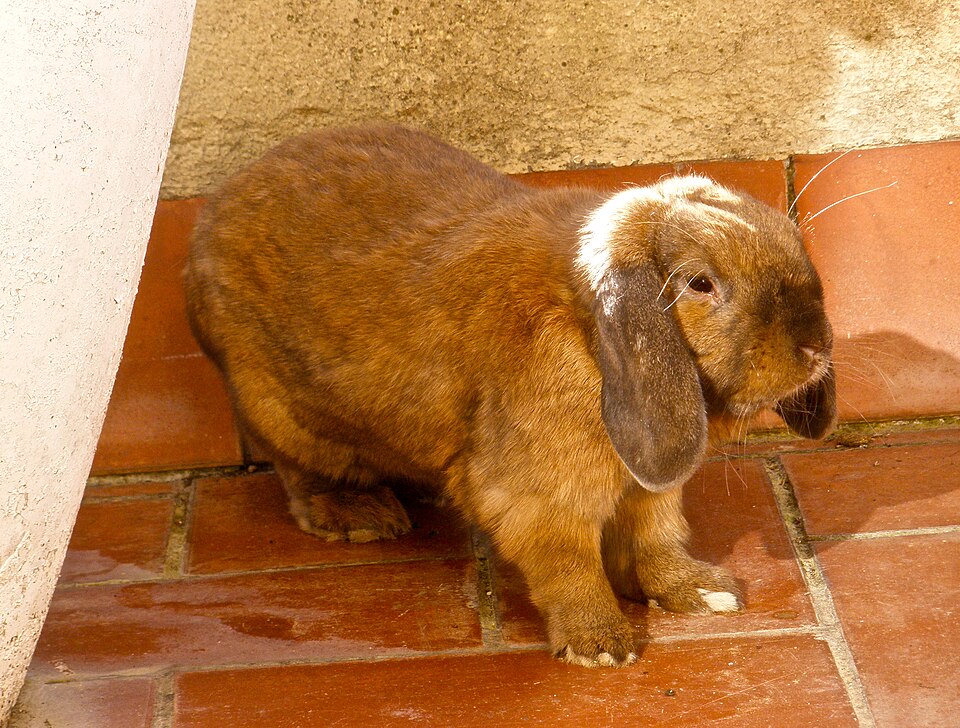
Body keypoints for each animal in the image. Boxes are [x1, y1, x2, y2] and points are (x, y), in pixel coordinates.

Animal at [184, 123, 837, 668]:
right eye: (701, 284)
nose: (815, 347)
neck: (586, 331)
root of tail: (213, 213)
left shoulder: (648, 487)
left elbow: (655, 539)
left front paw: (704, 592)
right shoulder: (539, 496)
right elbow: (569, 564)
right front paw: (601, 645)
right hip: (280, 411)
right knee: (301, 474)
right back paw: (362, 516)